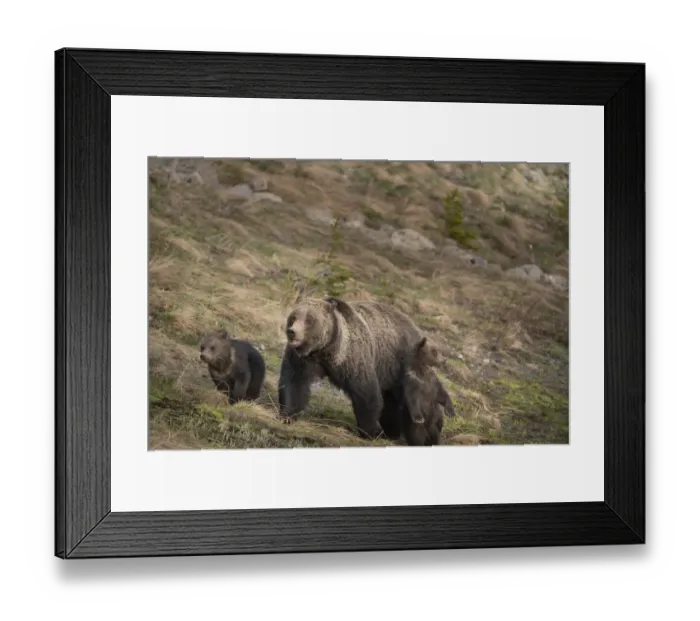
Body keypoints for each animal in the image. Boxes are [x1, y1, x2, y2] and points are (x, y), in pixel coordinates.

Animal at [277, 296, 424, 441]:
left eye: (309, 320)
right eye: (293, 317)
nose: (292, 332)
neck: (328, 349)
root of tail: (414, 325)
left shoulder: (353, 358)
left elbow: (366, 392)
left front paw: (371, 431)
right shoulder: (304, 358)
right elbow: (294, 381)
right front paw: (287, 416)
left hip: (402, 364)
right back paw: (392, 431)